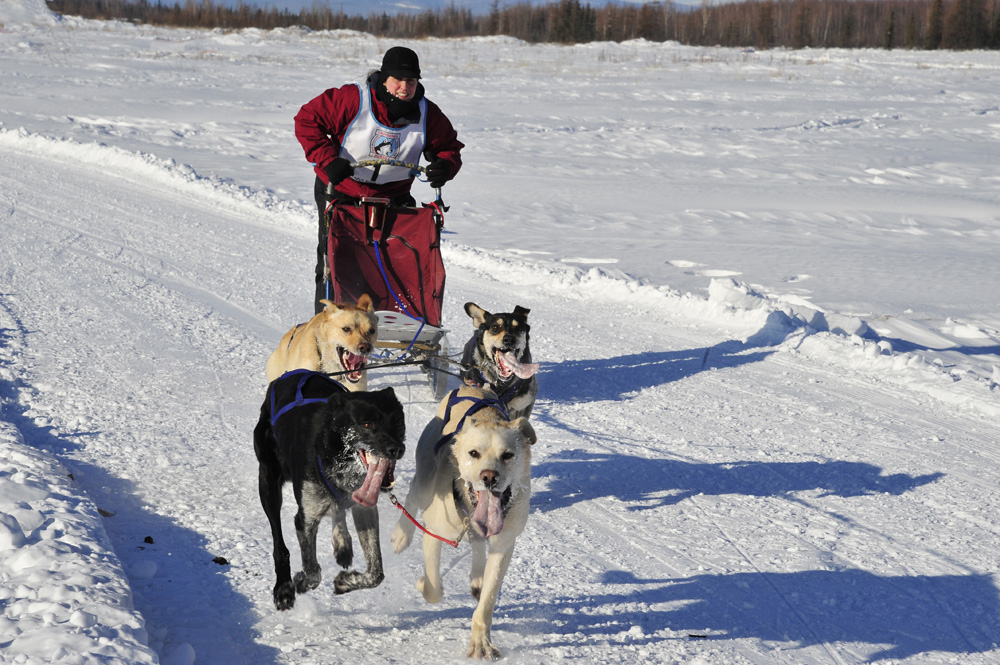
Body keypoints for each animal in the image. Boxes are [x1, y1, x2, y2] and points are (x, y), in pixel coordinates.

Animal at [254, 368, 406, 608]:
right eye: (367, 424)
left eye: (398, 421)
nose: (397, 449)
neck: (331, 449)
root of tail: (289, 374)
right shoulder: (305, 519)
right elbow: (313, 571)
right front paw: (299, 582)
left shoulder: (364, 508)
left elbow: (376, 573)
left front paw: (346, 581)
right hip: (268, 484)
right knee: (279, 541)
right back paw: (284, 586)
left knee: (338, 510)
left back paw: (342, 544)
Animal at [390, 384, 536, 660]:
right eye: (474, 453)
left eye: (508, 455)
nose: (489, 476)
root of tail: (472, 385)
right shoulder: (433, 533)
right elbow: (434, 589)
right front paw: (423, 582)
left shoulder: (504, 546)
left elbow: (487, 603)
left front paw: (481, 642)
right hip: (424, 483)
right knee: (412, 496)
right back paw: (401, 535)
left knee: (477, 543)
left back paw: (478, 578)